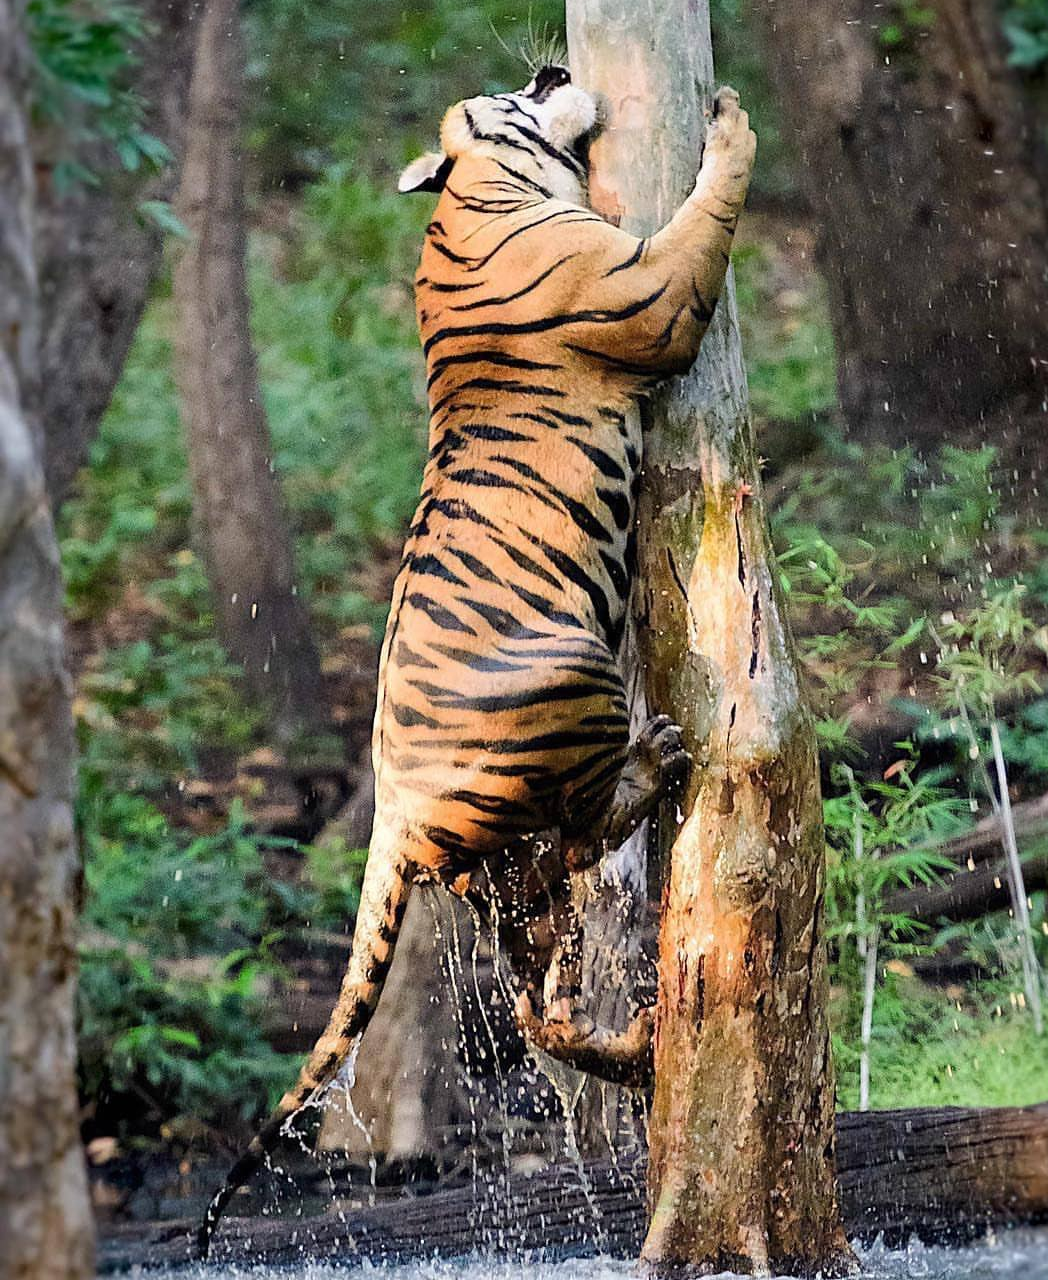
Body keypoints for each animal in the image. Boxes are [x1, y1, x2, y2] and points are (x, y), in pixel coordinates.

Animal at [198, 62, 752, 1249]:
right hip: (572, 671)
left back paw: (625, 1049)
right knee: (589, 827)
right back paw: (660, 760)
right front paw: (729, 123)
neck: (476, 190)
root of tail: (391, 805)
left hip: (505, 880)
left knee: (540, 988)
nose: (550, 70)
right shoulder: (651, 287)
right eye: (510, 91)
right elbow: (705, 212)